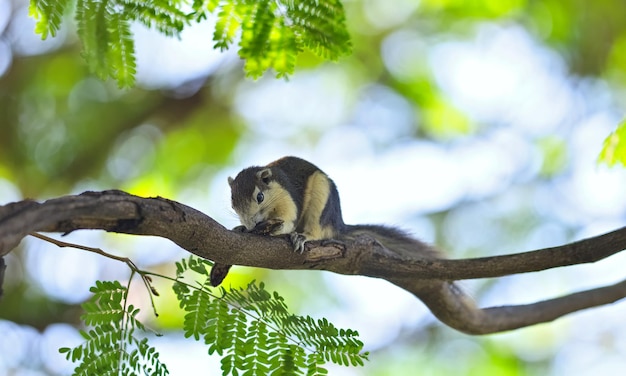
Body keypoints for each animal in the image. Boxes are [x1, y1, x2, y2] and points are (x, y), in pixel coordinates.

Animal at [207, 155, 436, 284]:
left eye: (260, 197)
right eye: (233, 203)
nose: (251, 224)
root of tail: (337, 223)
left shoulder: (288, 201)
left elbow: (288, 222)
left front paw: (274, 228)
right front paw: (241, 228)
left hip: (321, 197)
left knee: (315, 231)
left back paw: (302, 236)